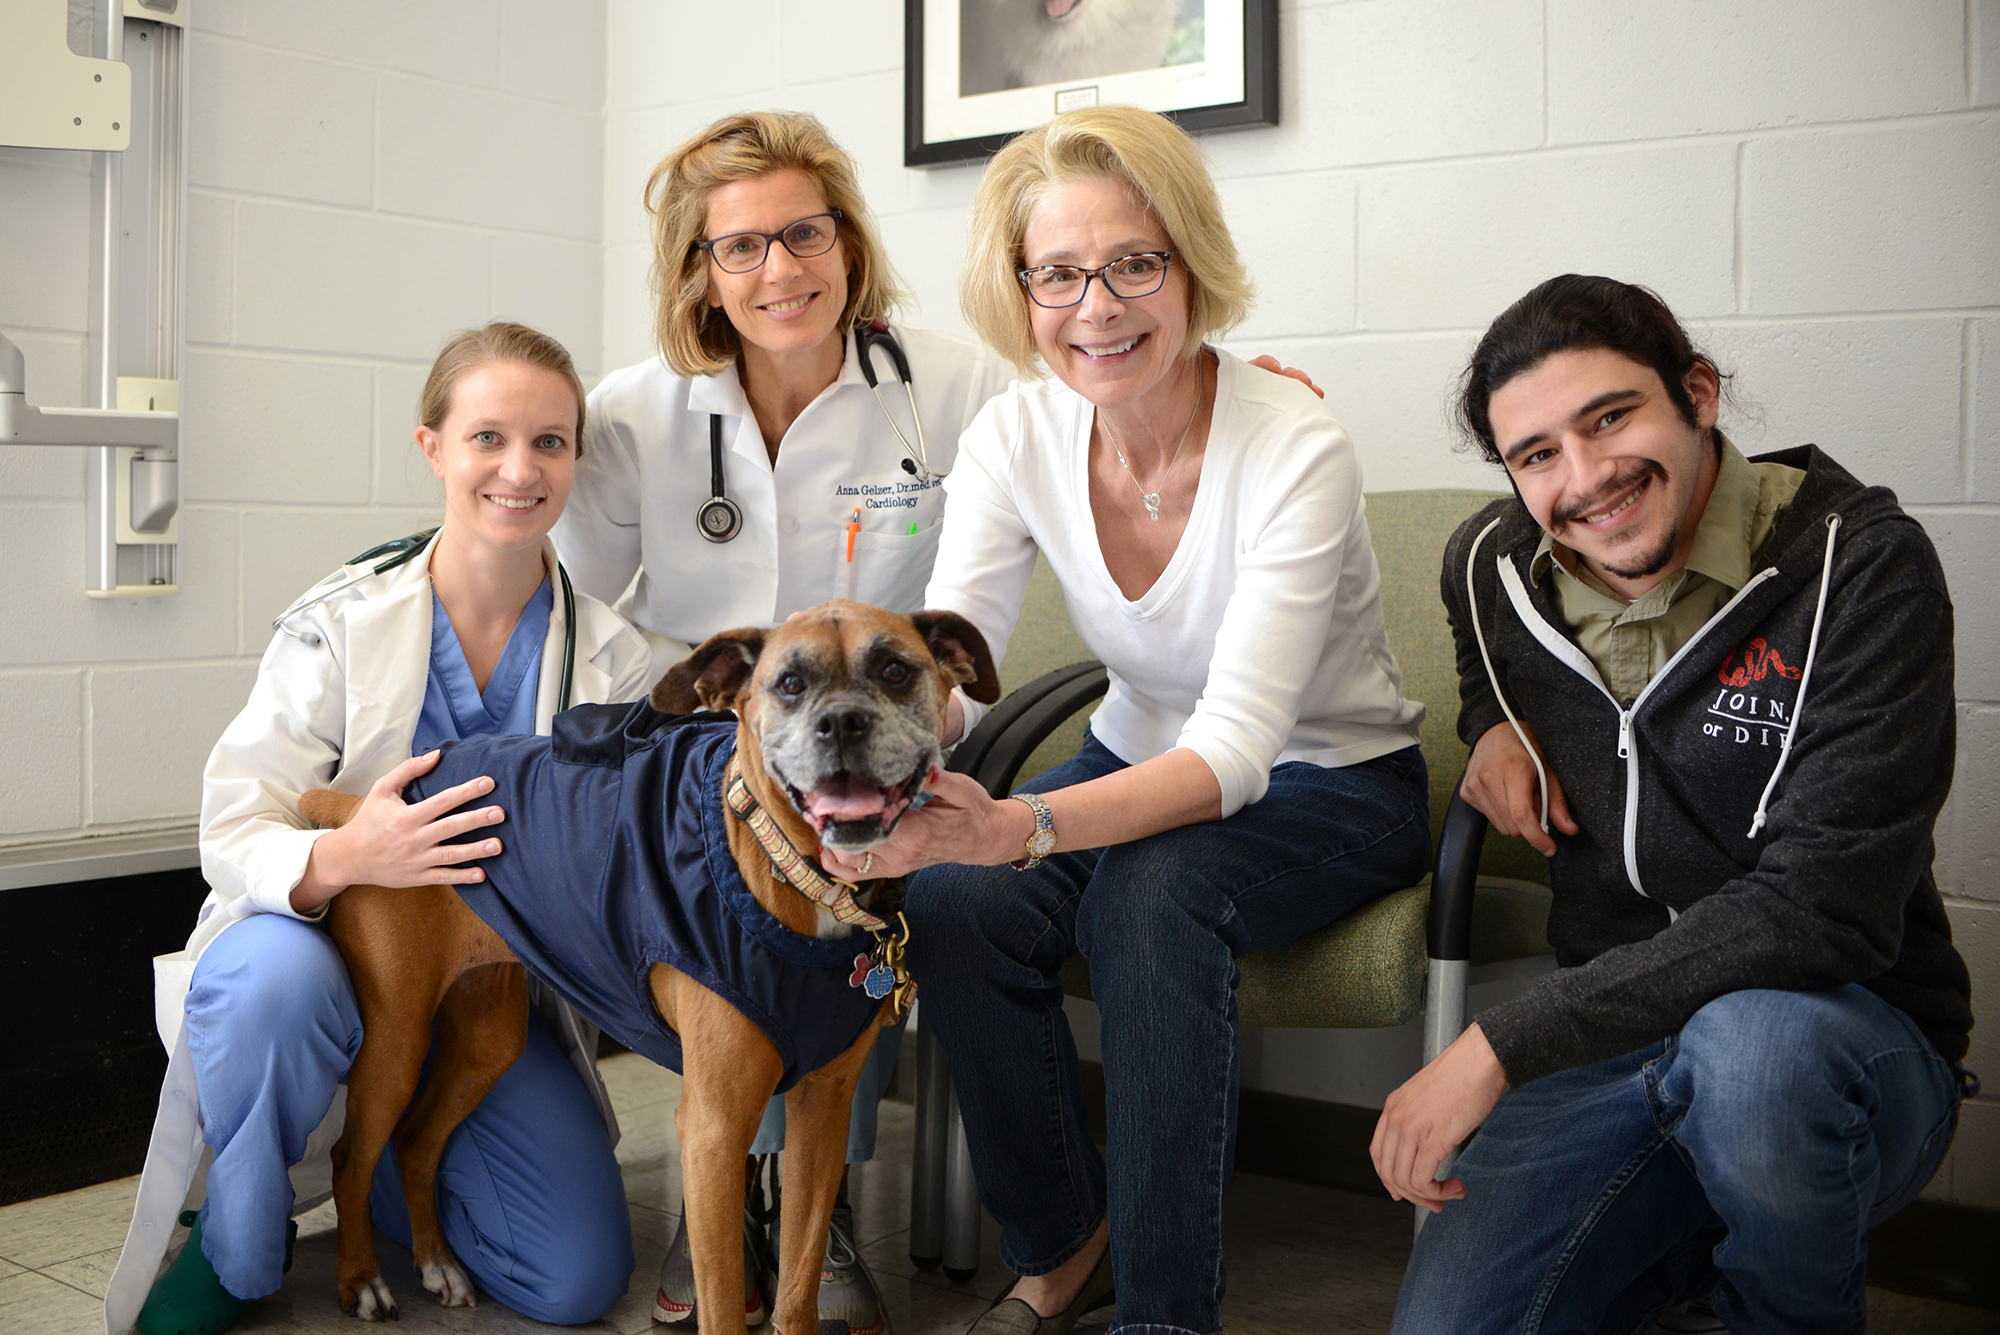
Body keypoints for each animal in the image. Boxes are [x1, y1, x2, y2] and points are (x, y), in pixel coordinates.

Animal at [298, 603, 1000, 1327]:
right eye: (789, 683)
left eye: (895, 670)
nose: (842, 722)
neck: (798, 878)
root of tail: (368, 803)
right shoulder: (715, 1129)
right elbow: (722, 1306)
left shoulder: (821, 1115)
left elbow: (799, 1284)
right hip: (398, 1039)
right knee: (353, 1154)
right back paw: (363, 1279)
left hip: (487, 1041)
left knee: (415, 1141)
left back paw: (438, 1264)